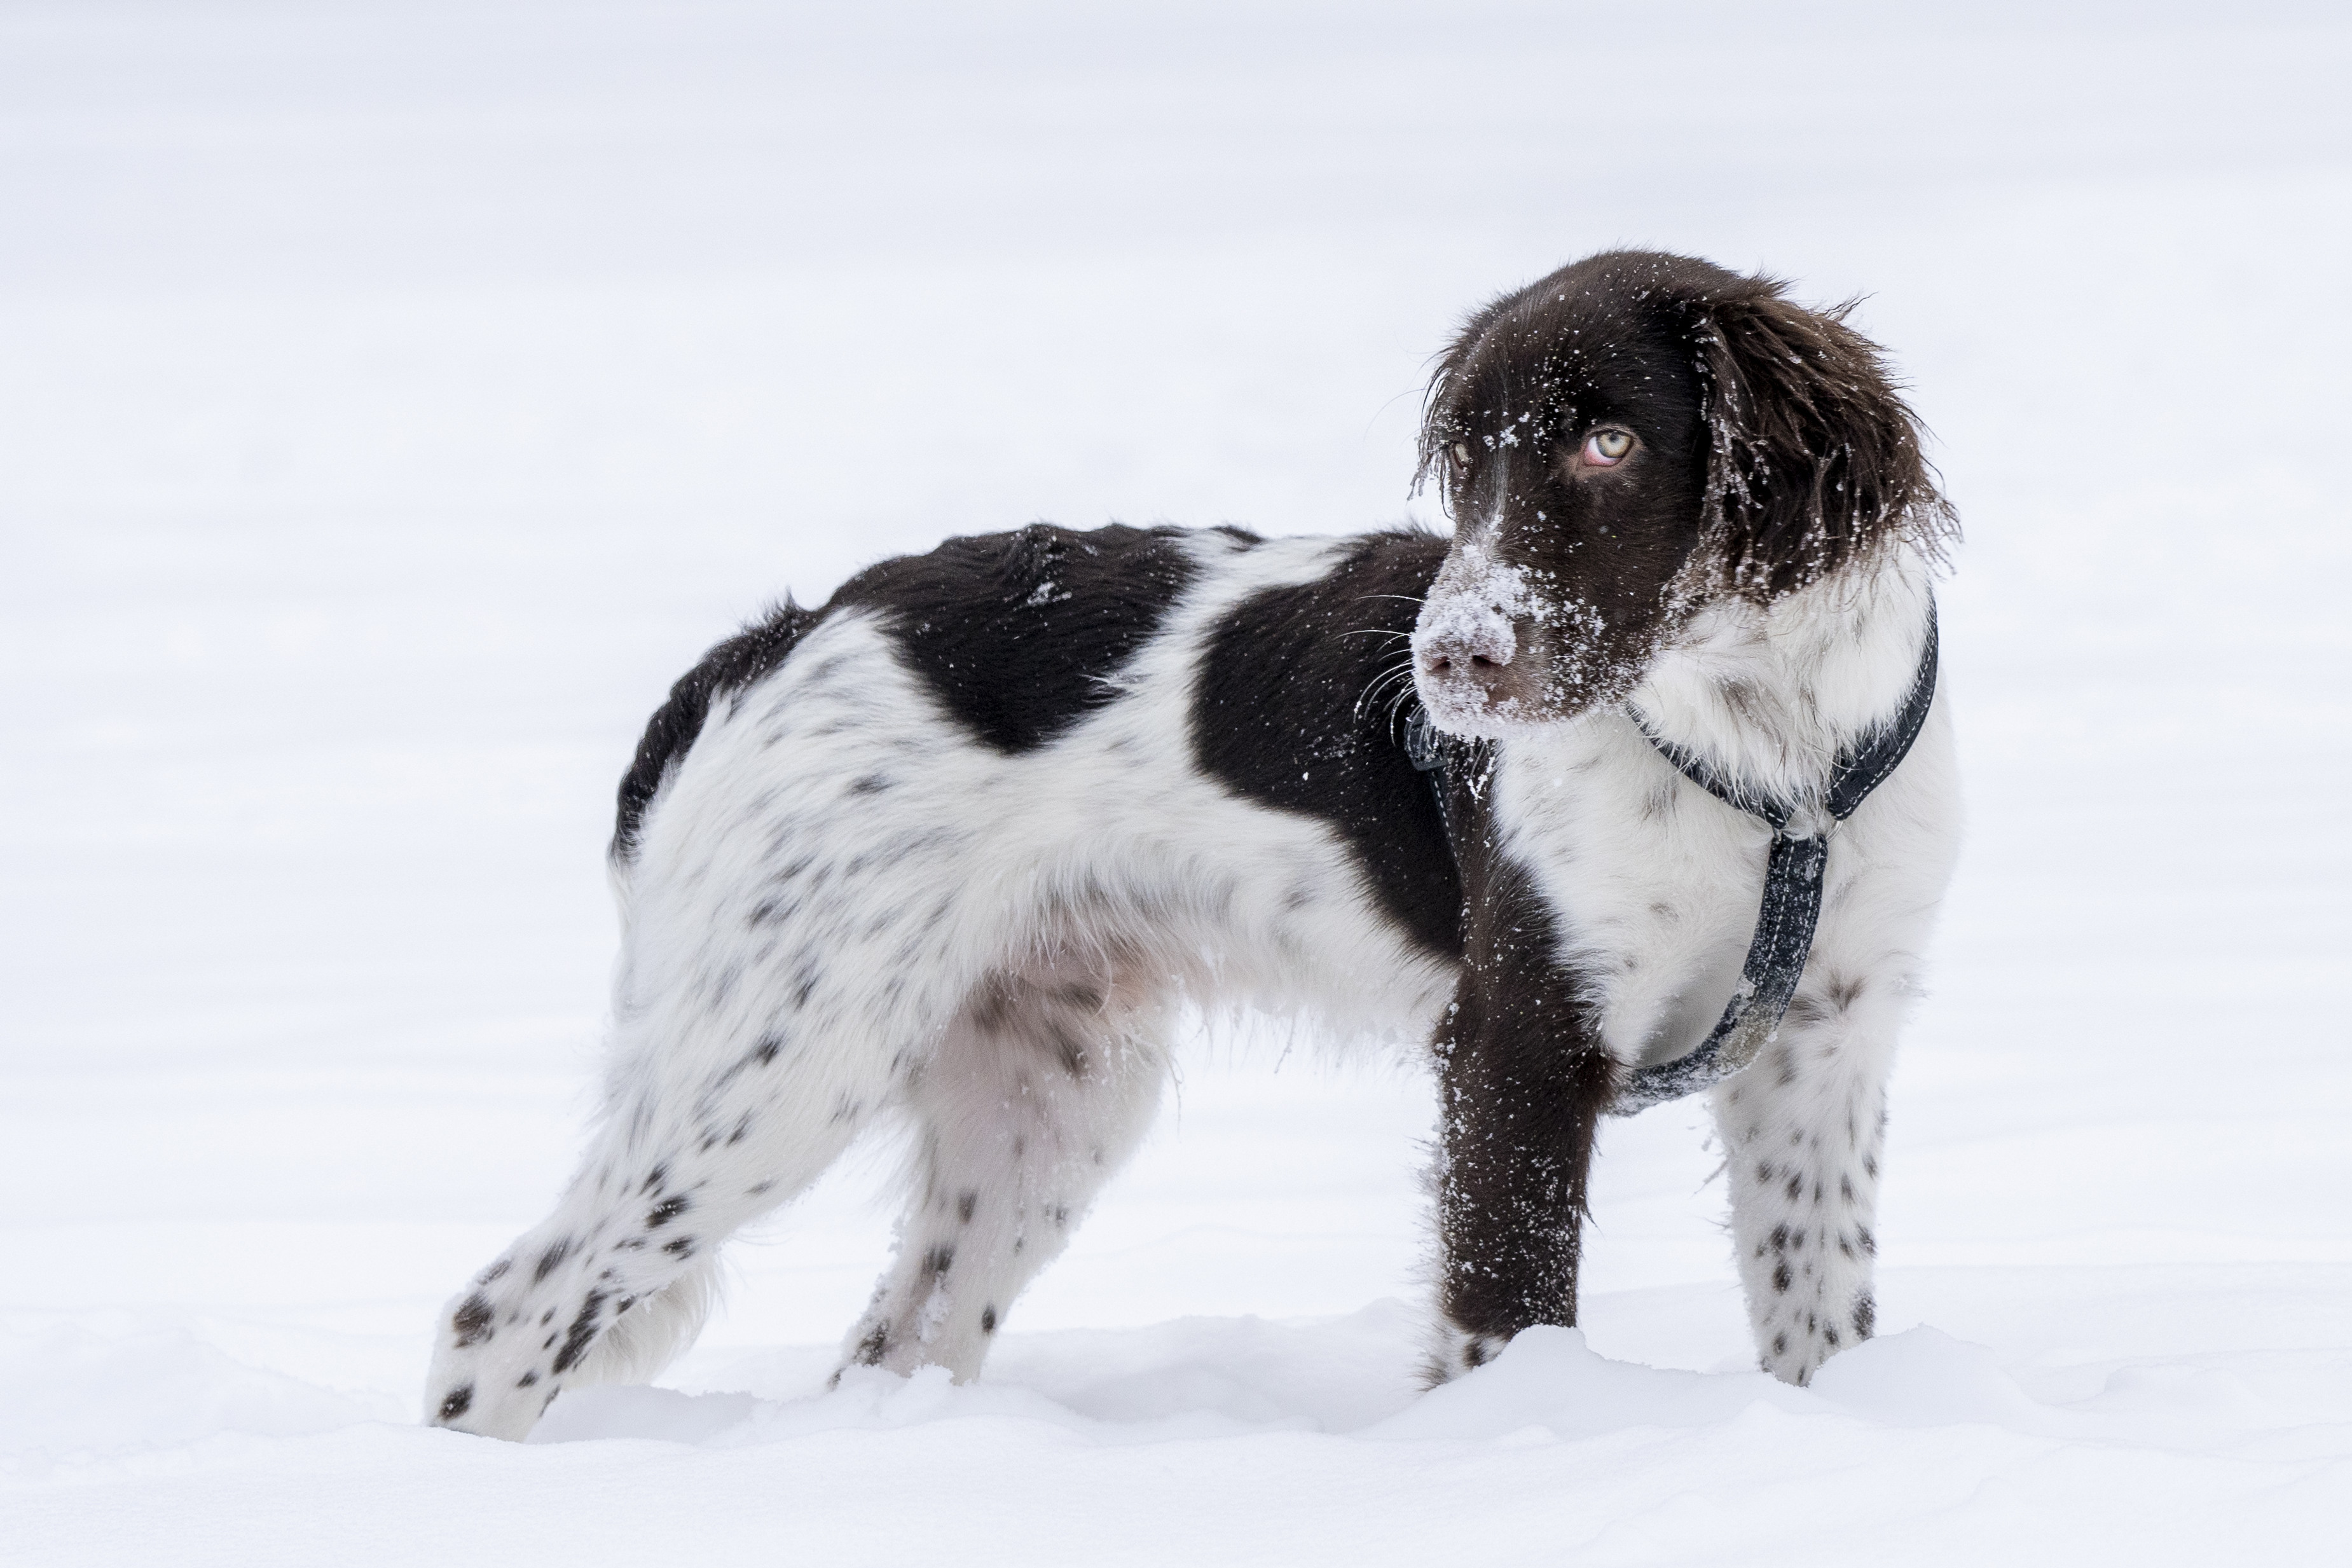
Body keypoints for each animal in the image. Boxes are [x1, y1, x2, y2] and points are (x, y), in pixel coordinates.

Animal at [428, 251, 1966, 1438]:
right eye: (1466, 466)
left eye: (1610, 442)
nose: (1450, 662)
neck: (1767, 764)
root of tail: (784, 635)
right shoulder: (1518, 1047)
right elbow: (1507, 1326)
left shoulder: (1824, 1044)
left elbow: (1816, 1315)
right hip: (777, 1060)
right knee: (501, 1315)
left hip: (1044, 1094)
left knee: (891, 1337)